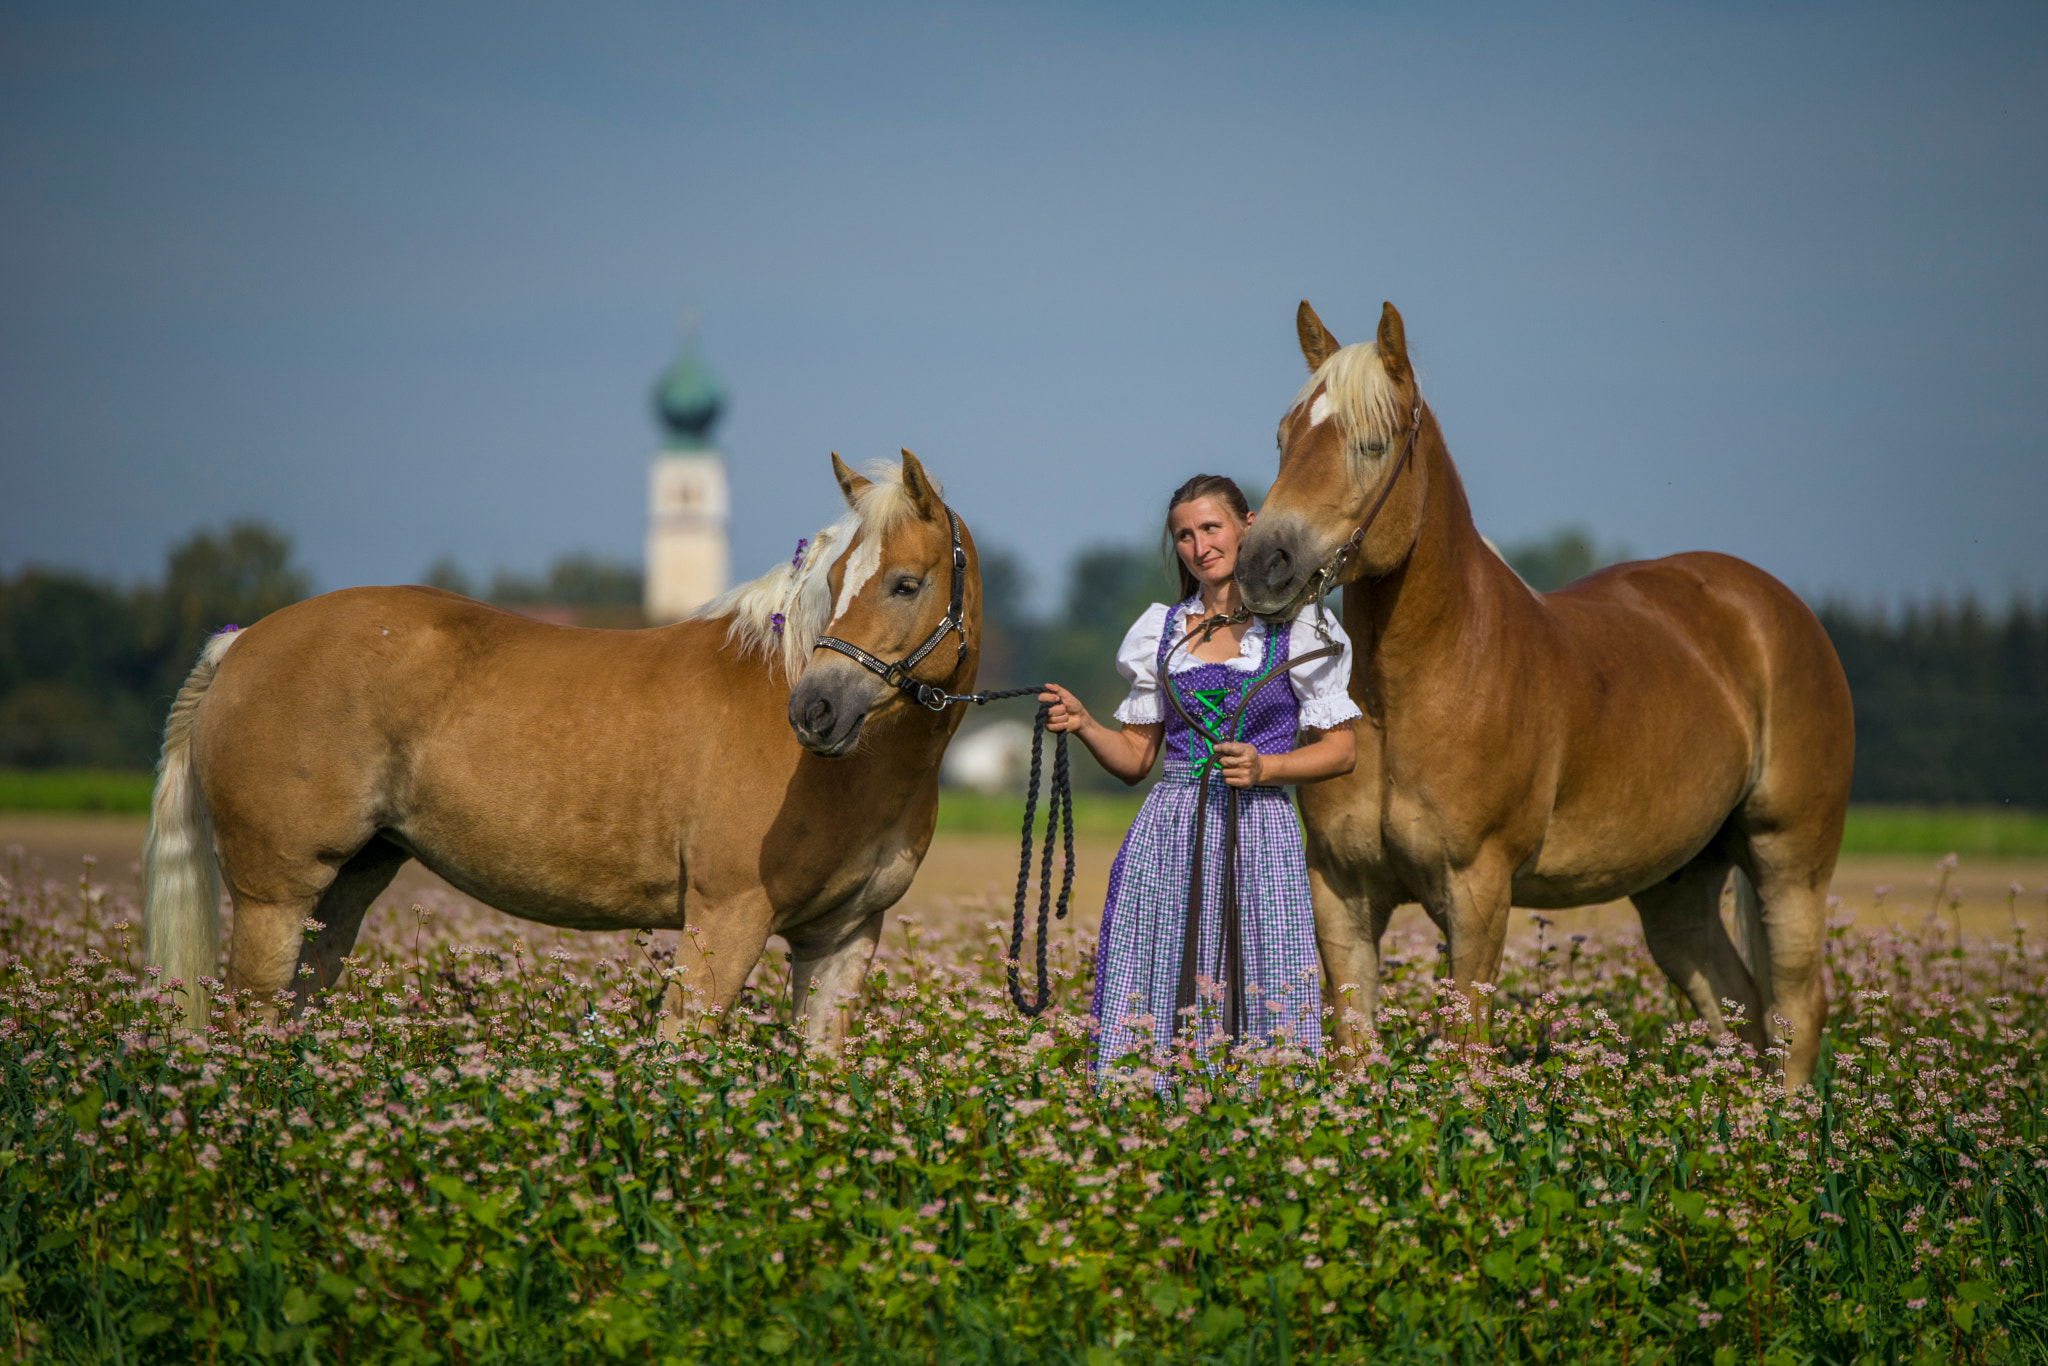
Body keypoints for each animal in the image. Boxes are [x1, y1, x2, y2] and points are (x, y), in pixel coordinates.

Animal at [142, 454, 974, 1040]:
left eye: (905, 583)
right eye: (832, 580)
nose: (815, 710)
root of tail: (242, 642)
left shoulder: (839, 940)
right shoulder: (725, 920)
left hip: (341, 893)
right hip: (273, 898)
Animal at [1228, 305, 1859, 1081]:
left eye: (1372, 445)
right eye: (1284, 437)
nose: (1262, 566)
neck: (1411, 693)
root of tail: (1776, 609)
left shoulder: (1476, 890)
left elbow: (1466, 1053)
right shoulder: (1342, 891)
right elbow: (1354, 1050)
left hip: (1789, 859)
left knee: (1796, 1010)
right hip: (1677, 886)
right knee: (1737, 1010)